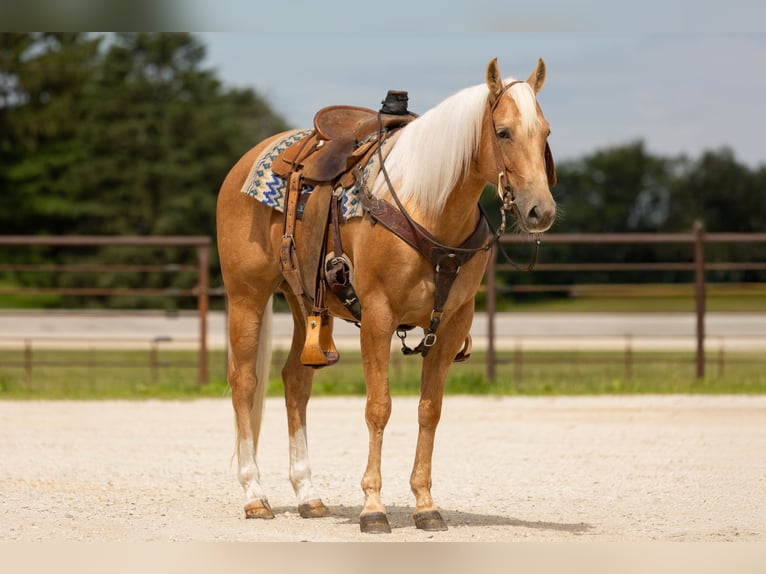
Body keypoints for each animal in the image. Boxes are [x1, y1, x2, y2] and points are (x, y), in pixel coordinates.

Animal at [216, 57, 557, 533]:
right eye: (504, 132)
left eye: (545, 132)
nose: (540, 211)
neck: (427, 206)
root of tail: (247, 161)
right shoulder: (378, 316)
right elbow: (379, 407)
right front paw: (373, 508)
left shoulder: (454, 323)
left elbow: (430, 409)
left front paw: (426, 505)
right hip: (247, 294)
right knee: (244, 381)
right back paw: (254, 495)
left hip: (304, 302)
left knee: (296, 381)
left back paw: (308, 495)